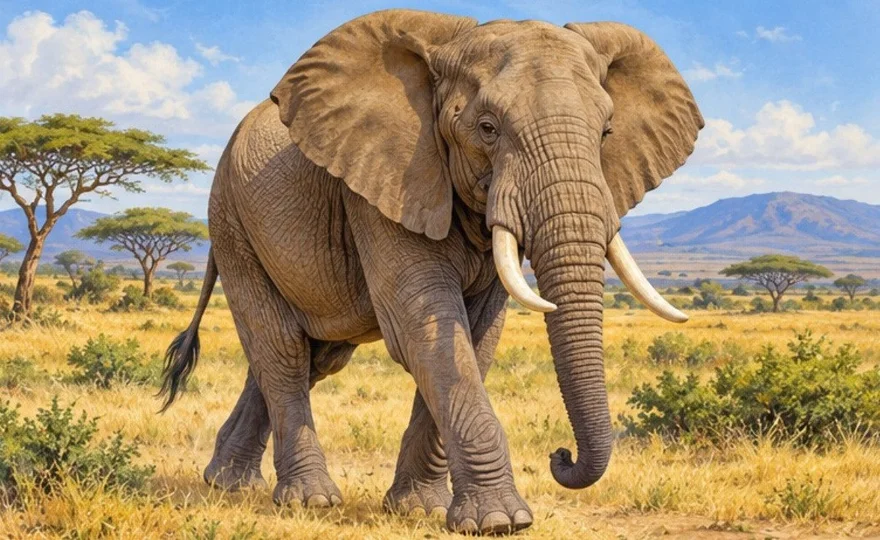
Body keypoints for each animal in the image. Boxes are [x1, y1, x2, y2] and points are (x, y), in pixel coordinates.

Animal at [160, 9, 702, 535]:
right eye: (487, 128)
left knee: (311, 357)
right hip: (231, 221)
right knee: (281, 347)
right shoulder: (385, 184)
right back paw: (308, 500)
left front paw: (418, 510)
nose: (560, 456)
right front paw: (500, 522)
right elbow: (423, 328)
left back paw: (228, 483)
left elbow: (477, 337)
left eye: (606, 133)